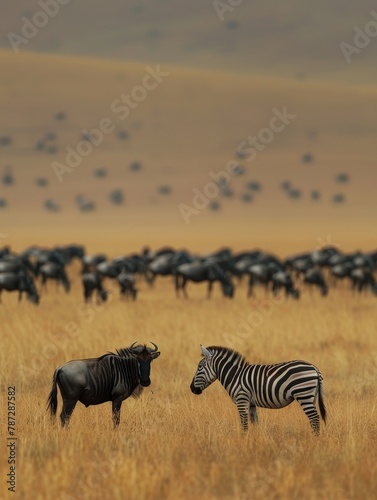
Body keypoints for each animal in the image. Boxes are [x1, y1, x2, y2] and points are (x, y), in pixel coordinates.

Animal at [189, 344, 324, 434]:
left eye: (199, 367)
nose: (191, 388)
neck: (235, 375)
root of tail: (314, 368)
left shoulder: (242, 400)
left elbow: (244, 424)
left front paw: (244, 441)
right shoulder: (251, 404)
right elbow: (255, 423)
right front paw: (255, 440)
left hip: (304, 394)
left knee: (315, 418)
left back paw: (314, 442)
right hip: (311, 396)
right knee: (313, 420)